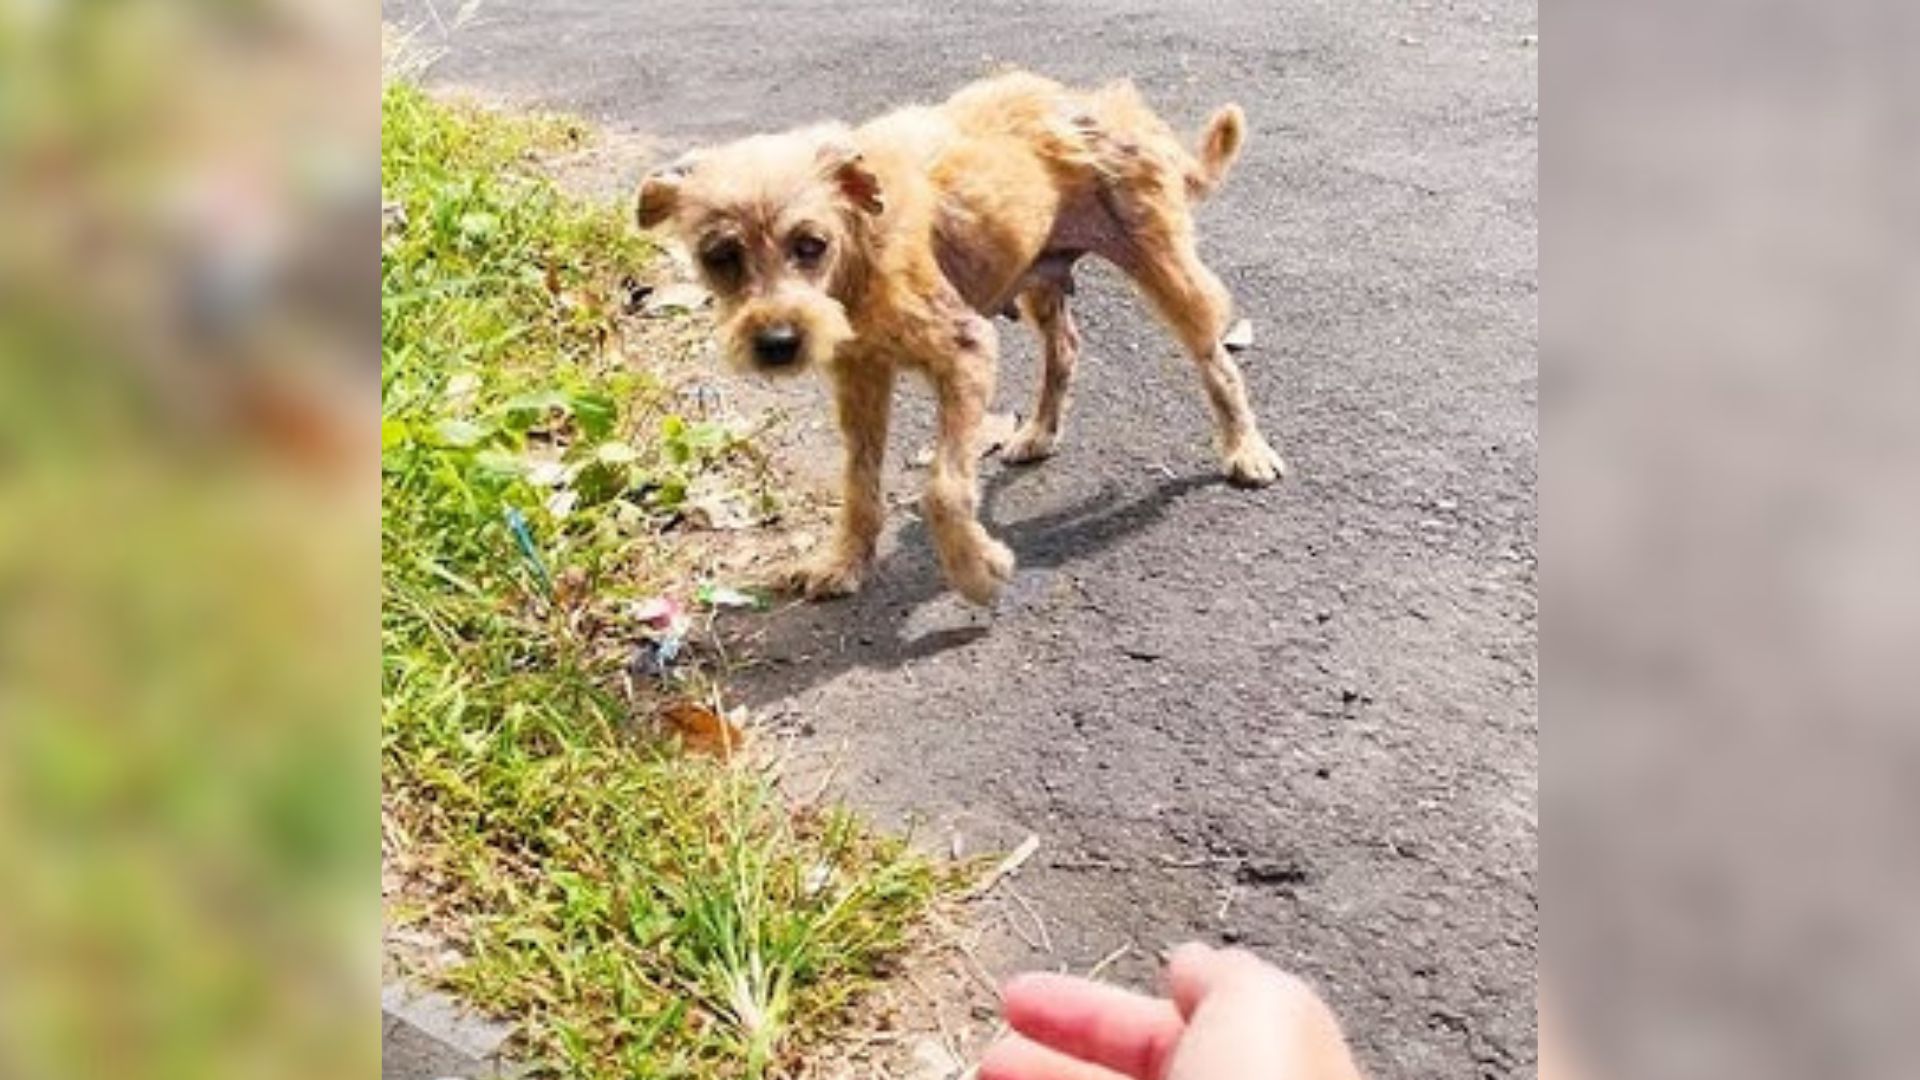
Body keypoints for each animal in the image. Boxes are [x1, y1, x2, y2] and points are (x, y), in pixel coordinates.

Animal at [637, 70, 1282, 599]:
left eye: (810, 244)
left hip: (1165, 265)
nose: (776, 343)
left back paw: (1246, 448)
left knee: (1215, 359)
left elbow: (943, 490)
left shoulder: (965, 351)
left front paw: (975, 572)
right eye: (720, 256)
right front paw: (844, 561)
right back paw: (1038, 432)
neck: (860, 254)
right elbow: (859, 481)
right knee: (1065, 347)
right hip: (1040, 274)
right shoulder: (860, 377)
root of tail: (1108, 105)